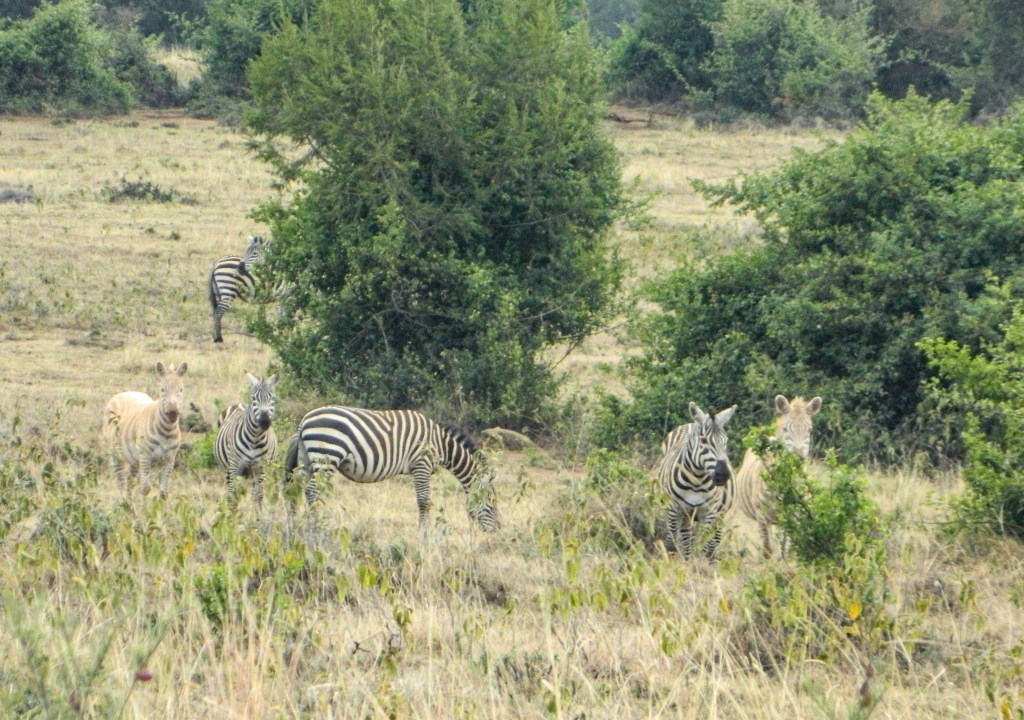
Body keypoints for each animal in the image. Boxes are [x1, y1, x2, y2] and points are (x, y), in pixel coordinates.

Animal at [102, 362, 188, 499]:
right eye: (162, 389)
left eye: (181, 390)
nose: (173, 413)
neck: (167, 431)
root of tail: (124, 393)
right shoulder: (145, 457)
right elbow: (145, 489)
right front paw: (143, 505)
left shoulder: (169, 459)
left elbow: (164, 493)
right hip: (114, 454)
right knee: (120, 481)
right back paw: (123, 502)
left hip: (133, 458)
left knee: (129, 480)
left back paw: (129, 503)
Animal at [214, 372, 280, 506]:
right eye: (253, 399)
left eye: (273, 399)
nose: (264, 422)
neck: (255, 438)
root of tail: (240, 404)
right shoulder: (235, 467)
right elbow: (233, 496)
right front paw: (231, 512)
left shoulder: (260, 468)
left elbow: (258, 497)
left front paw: (257, 512)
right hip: (228, 469)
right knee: (230, 491)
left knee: (254, 493)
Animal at [284, 406, 500, 532]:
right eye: (491, 503)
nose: (497, 531)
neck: (439, 444)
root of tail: (304, 421)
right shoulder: (421, 465)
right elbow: (424, 501)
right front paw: (424, 533)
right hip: (327, 456)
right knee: (312, 491)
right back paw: (314, 526)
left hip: (307, 459)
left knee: (296, 489)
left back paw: (295, 524)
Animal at [655, 402, 737, 561]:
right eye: (704, 441)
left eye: (726, 442)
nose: (723, 475)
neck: (696, 481)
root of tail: (691, 423)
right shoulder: (675, 508)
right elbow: (671, 543)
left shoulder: (710, 511)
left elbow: (705, 546)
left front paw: (700, 564)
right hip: (686, 514)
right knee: (687, 540)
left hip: (719, 515)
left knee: (712, 543)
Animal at [733, 395, 822, 559]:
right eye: (786, 429)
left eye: (810, 430)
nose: (797, 459)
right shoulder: (761, 514)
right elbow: (767, 548)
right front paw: (769, 565)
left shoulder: (794, 515)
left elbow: (788, 548)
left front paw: (786, 563)